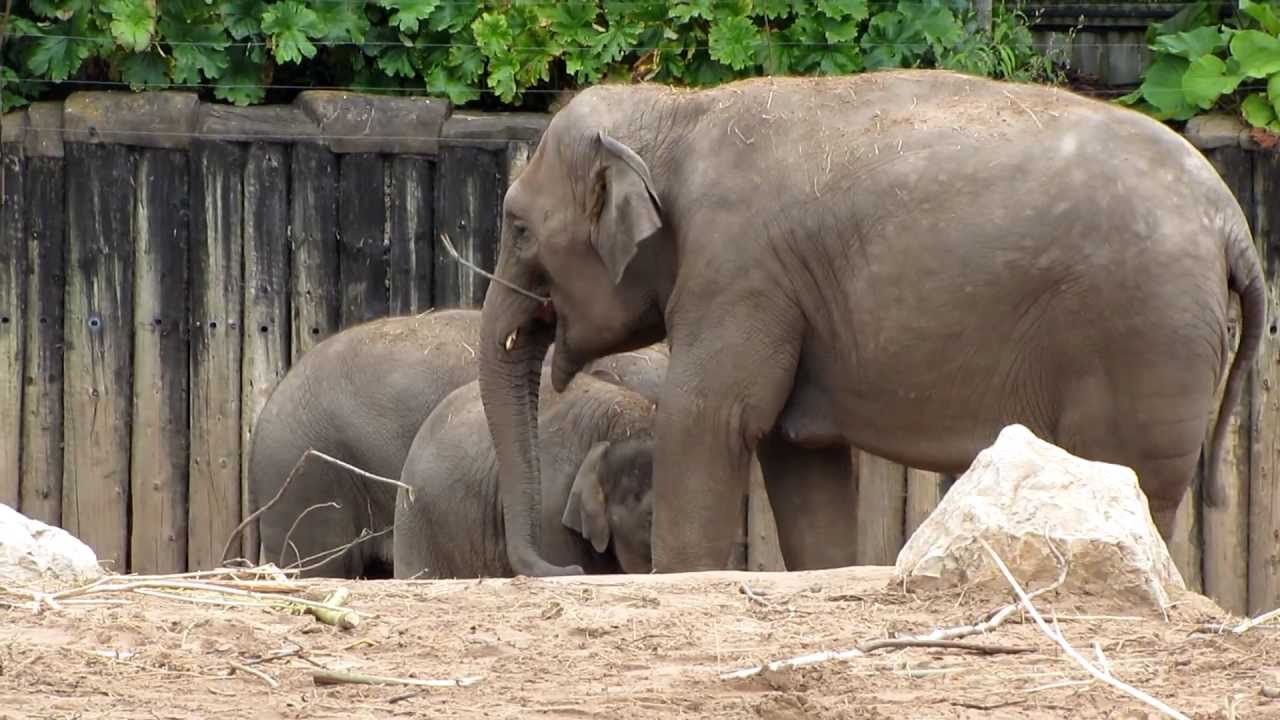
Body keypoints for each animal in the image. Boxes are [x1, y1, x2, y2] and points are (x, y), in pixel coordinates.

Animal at [475, 68, 1266, 578]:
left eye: (518, 228)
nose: (566, 568)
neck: (677, 113)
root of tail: (1233, 224)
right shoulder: (779, 292)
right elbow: (796, 452)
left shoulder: (738, 269)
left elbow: (710, 419)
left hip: (1145, 330)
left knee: (1132, 475)